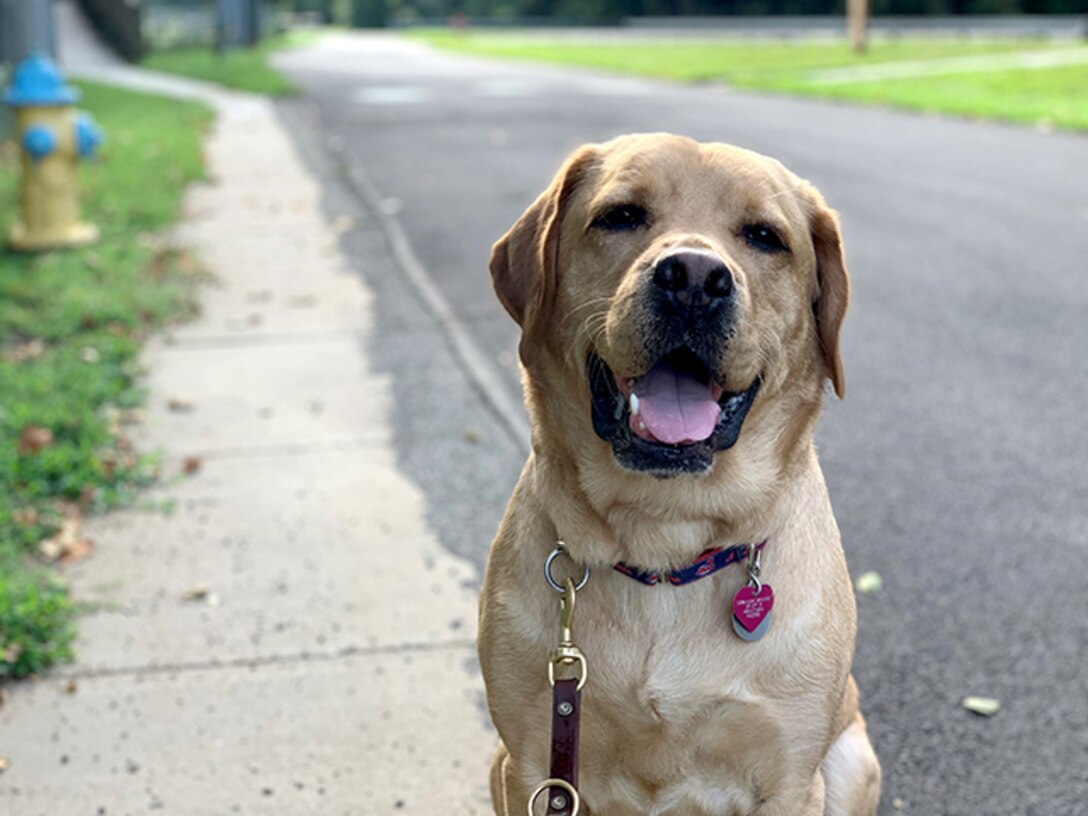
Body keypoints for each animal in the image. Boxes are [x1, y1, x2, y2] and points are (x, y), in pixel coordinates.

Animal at [480, 136, 879, 816]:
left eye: (765, 236)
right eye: (620, 216)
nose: (693, 278)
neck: (665, 541)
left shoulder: (790, 779)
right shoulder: (532, 763)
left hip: (853, 759)